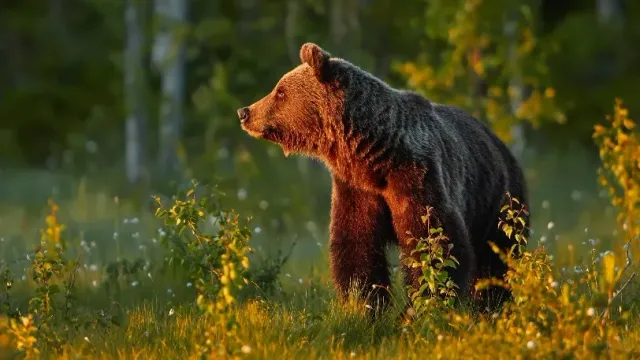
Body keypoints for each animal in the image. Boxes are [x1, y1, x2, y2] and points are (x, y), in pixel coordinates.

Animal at [238, 43, 528, 310]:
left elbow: (434, 242)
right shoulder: (356, 188)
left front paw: (427, 303)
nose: (245, 112)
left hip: (499, 200)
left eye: (280, 91)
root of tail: (501, 144)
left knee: (498, 256)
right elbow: (356, 245)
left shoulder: (417, 177)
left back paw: (490, 304)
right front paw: (363, 303)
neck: (373, 156)